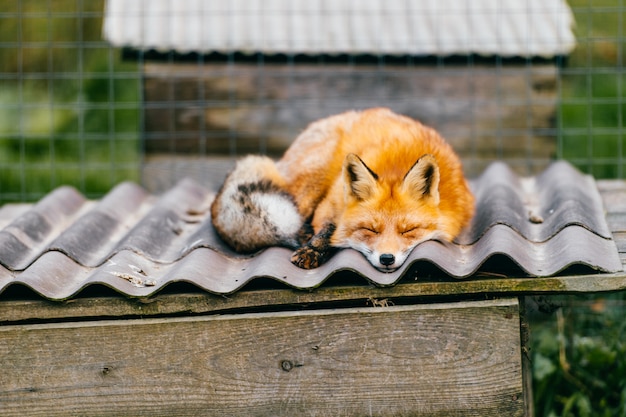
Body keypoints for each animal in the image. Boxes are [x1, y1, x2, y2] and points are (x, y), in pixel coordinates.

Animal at [210, 107, 472, 272]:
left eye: (409, 230)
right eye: (370, 229)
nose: (387, 259)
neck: (394, 168)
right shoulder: (330, 203)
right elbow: (329, 228)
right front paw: (313, 250)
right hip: (313, 179)